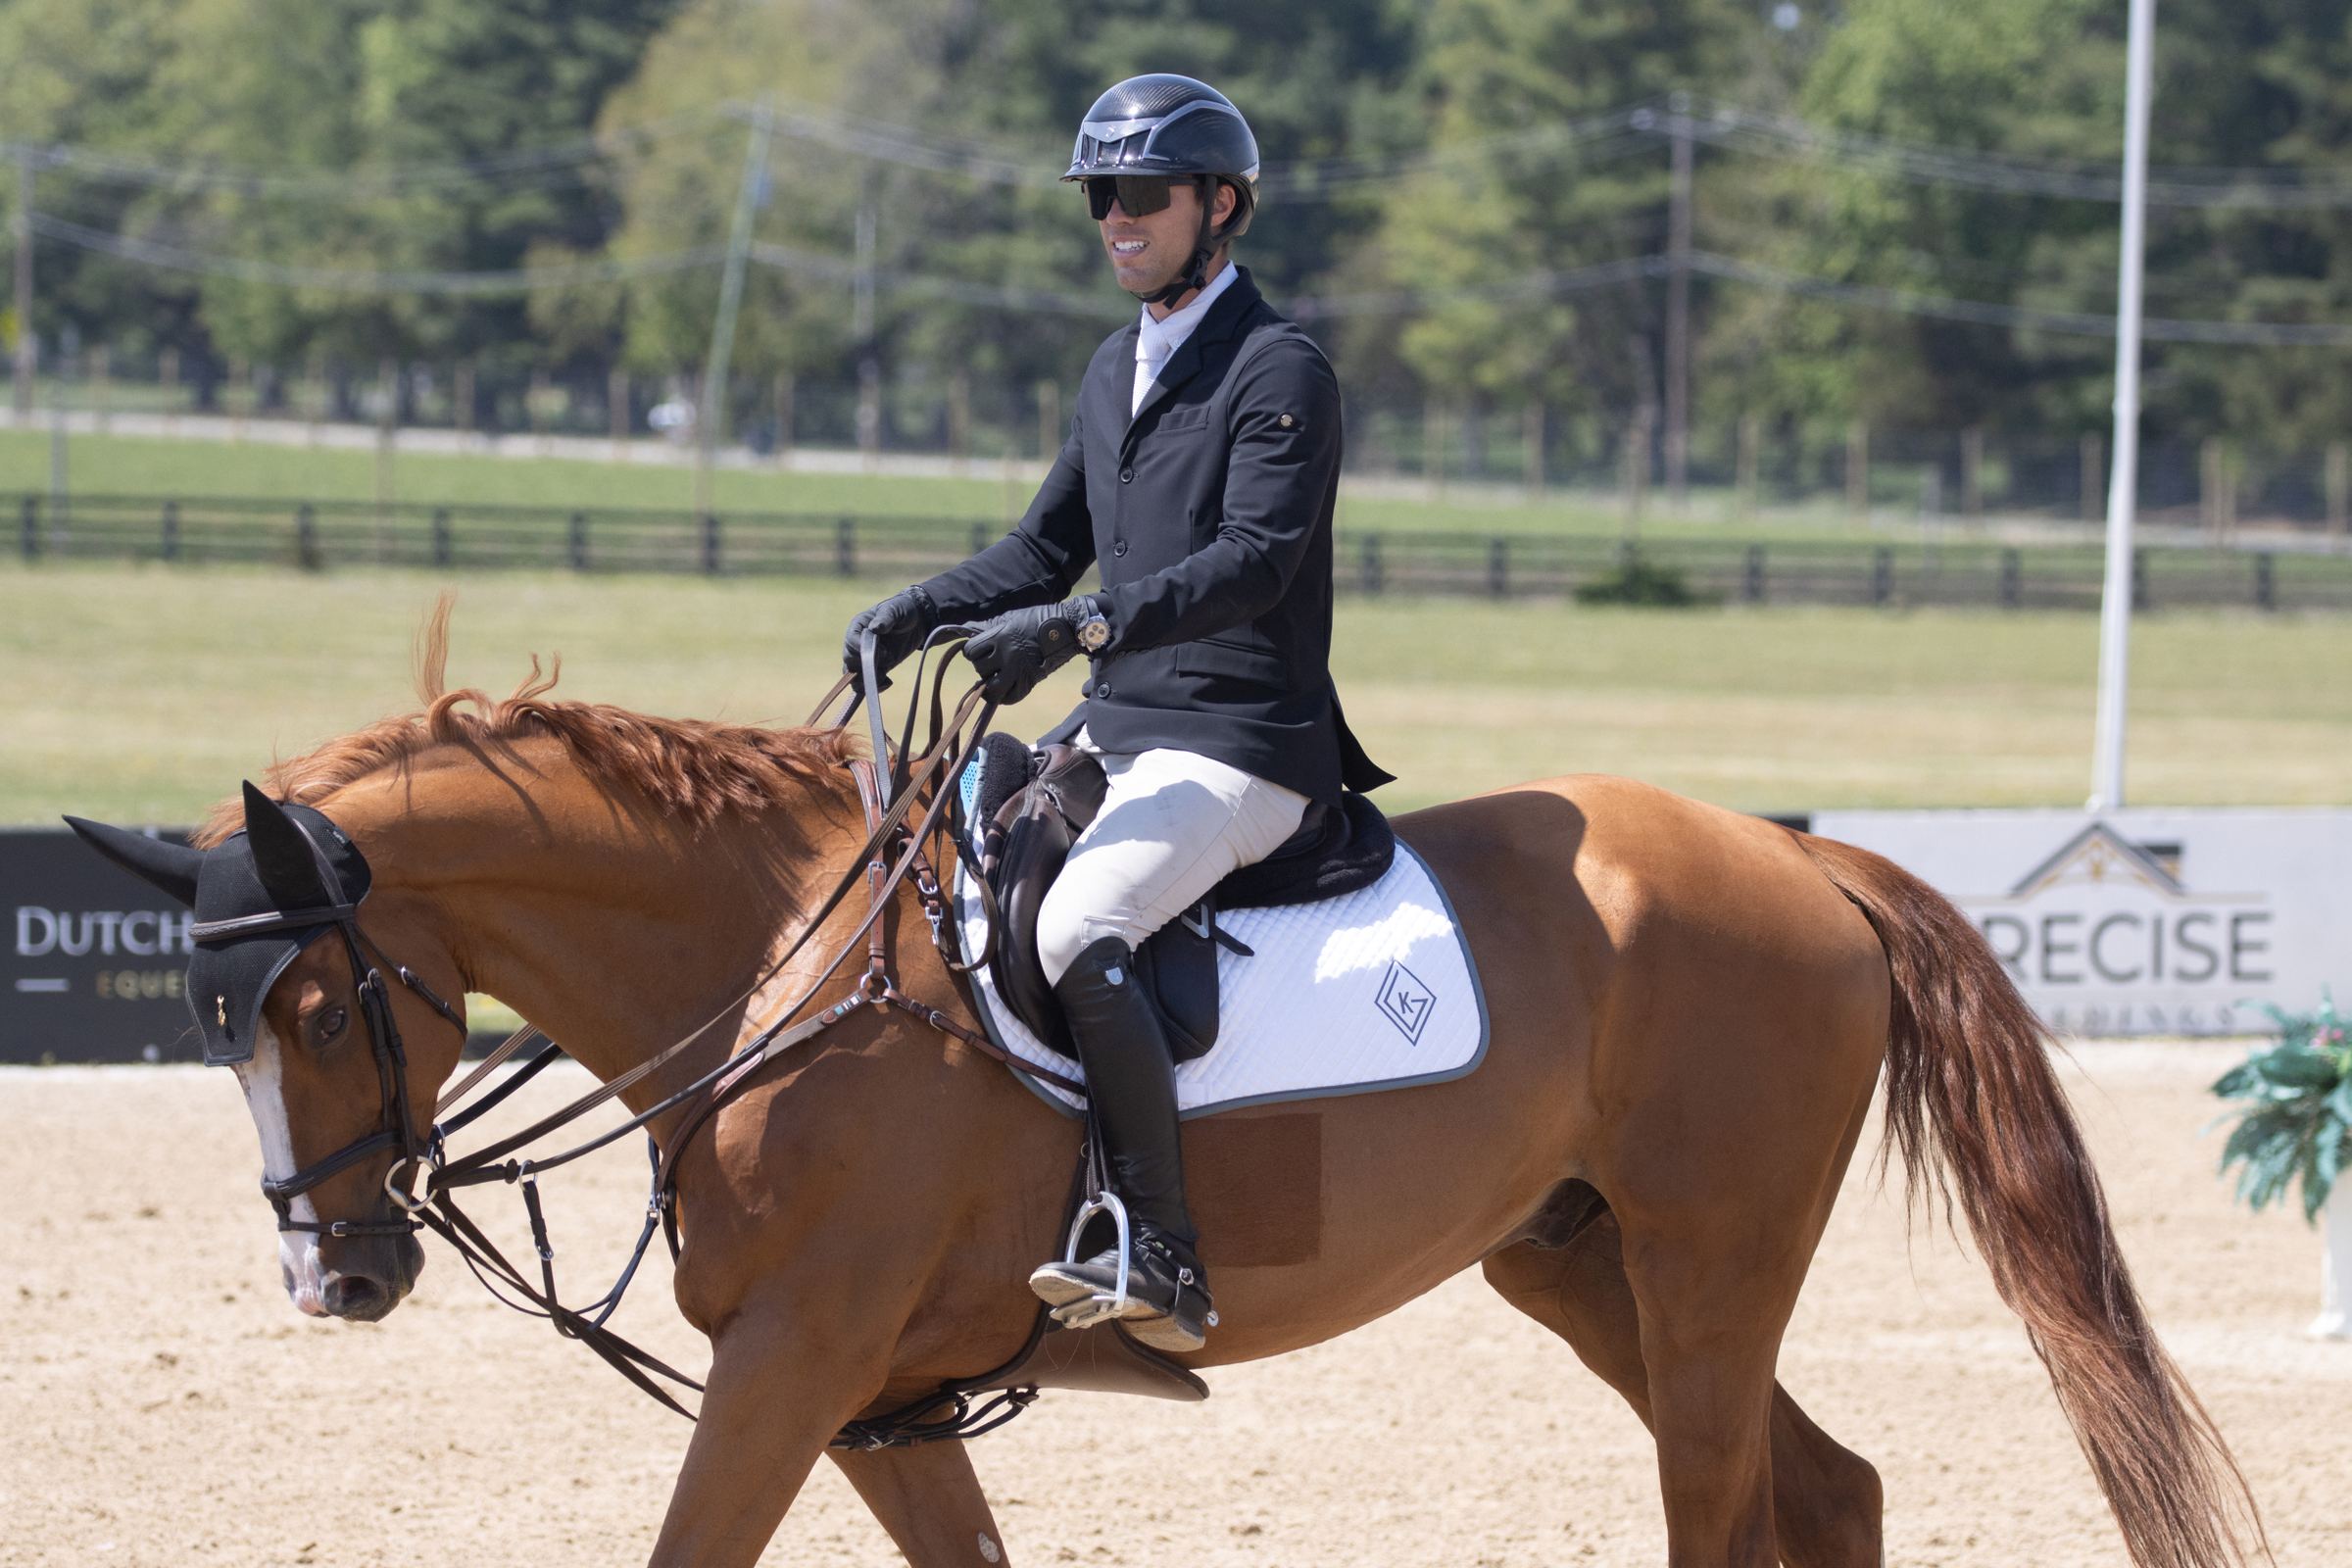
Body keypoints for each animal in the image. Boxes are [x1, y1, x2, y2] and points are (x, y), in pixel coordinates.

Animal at [71, 619, 2261, 1568]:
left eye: (322, 1005)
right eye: (208, 1016)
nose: (335, 1279)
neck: (771, 958)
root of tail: (1801, 861)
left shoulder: (796, 1358)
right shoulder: (870, 1393)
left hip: (1714, 1261)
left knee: (1736, 1508)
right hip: (1585, 1267)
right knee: (1829, 1489)